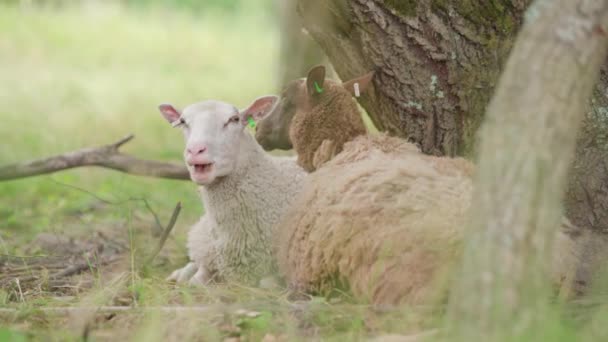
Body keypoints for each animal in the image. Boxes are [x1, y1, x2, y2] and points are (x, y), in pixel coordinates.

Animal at [159, 97, 306, 286]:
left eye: (234, 119)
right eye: (183, 122)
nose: (195, 150)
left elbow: (267, 284)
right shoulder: (214, 256)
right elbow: (196, 281)